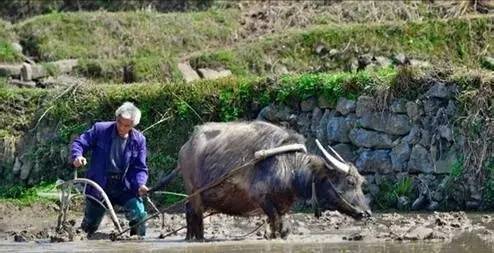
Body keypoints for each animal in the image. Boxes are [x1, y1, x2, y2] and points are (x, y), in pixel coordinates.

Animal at [155, 121, 370, 240]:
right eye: (350, 182)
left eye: (361, 183)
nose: (366, 213)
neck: (288, 165)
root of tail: (185, 147)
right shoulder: (262, 199)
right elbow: (275, 221)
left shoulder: (282, 205)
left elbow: (282, 226)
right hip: (195, 192)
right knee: (195, 213)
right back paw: (198, 238)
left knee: (189, 211)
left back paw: (190, 237)